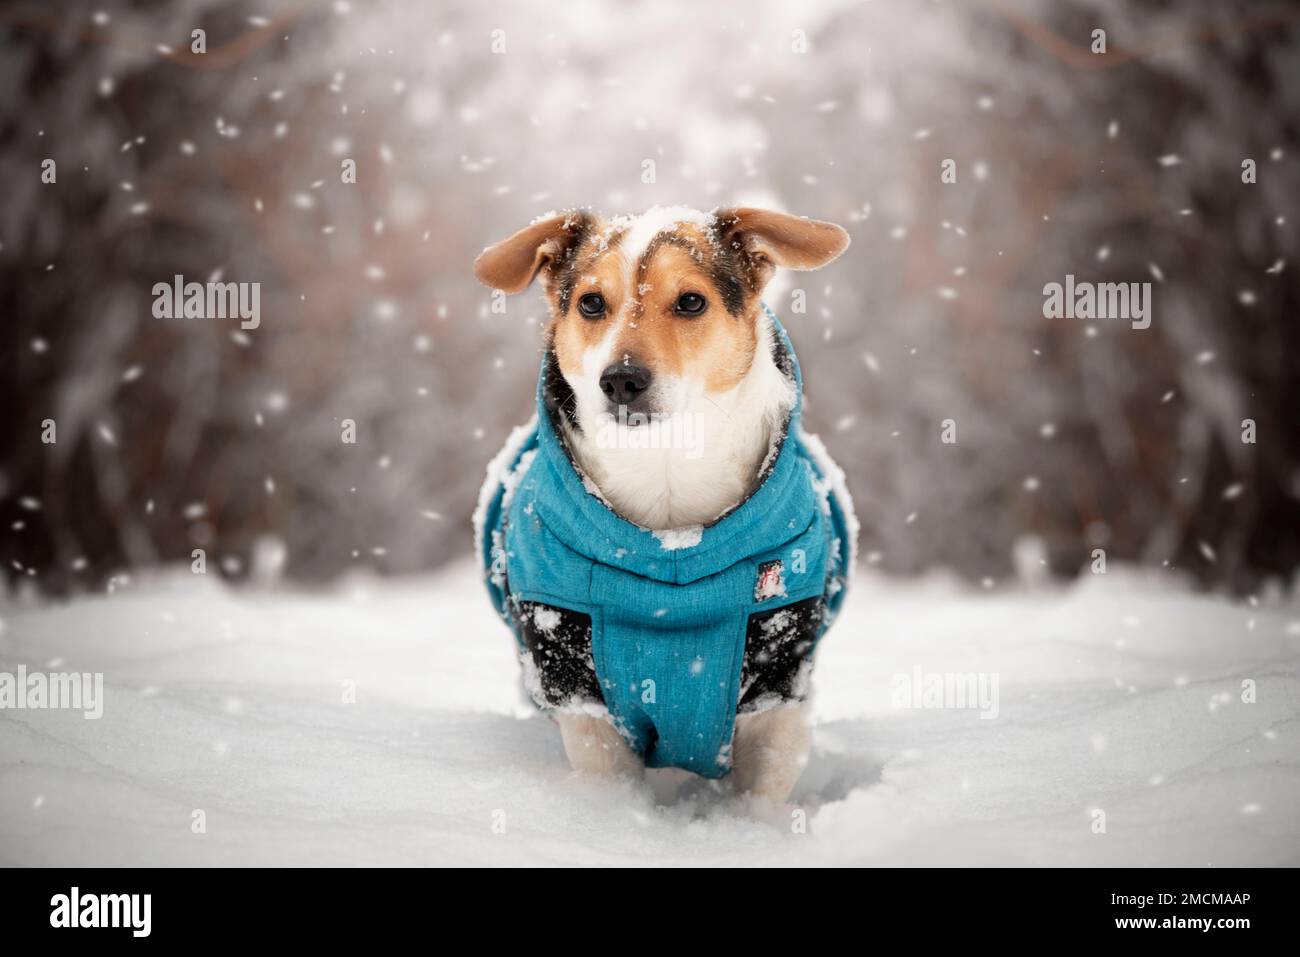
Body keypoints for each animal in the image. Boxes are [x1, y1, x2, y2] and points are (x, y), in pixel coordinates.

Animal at [473, 205, 857, 806]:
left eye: (691, 301)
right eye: (591, 303)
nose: (621, 379)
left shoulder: (779, 676)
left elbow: (763, 793)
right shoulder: (574, 678)